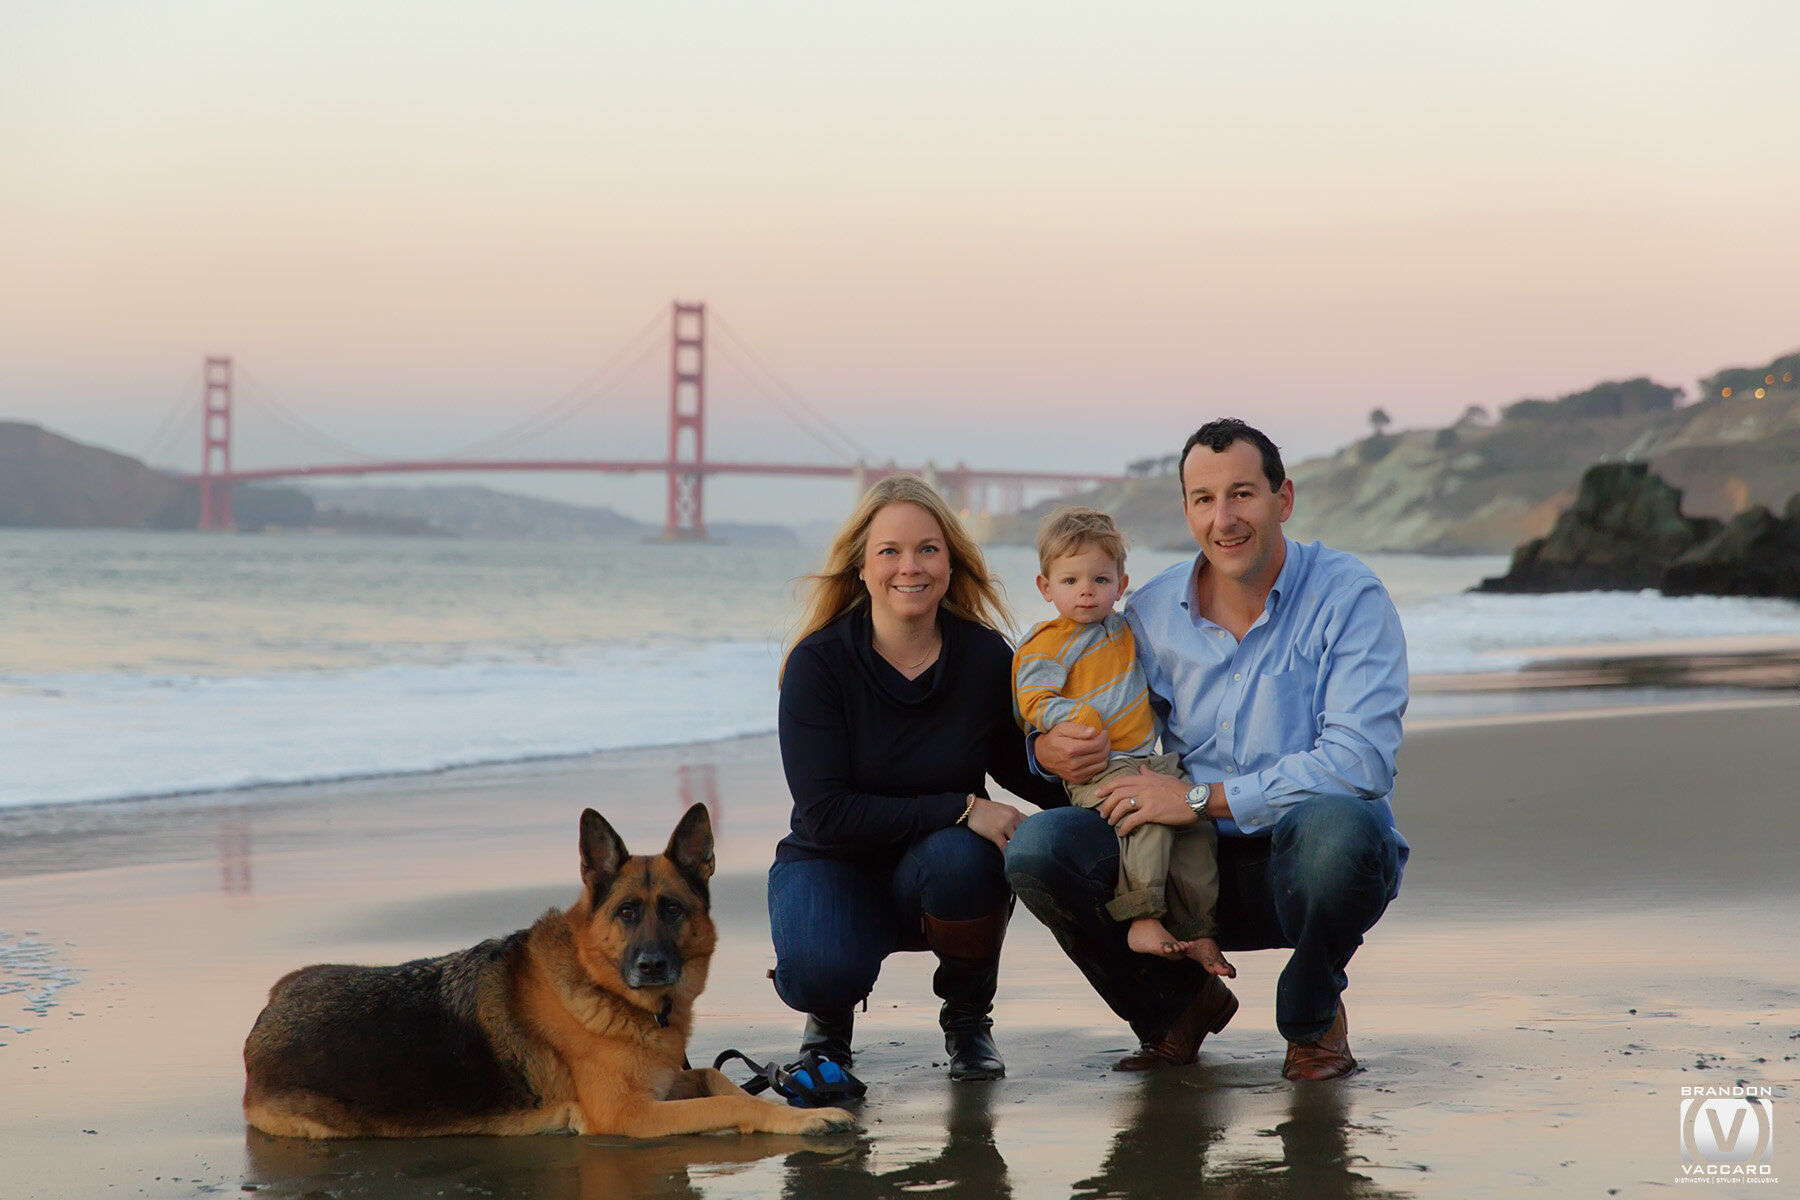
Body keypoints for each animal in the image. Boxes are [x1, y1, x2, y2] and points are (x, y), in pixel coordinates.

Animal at [244, 805, 856, 1137]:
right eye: (627, 912)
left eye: (672, 909)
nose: (652, 965)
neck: (602, 987)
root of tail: (268, 1009)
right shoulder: (630, 1115)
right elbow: (728, 1098)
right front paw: (806, 1120)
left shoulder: (662, 1086)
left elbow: (715, 1076)